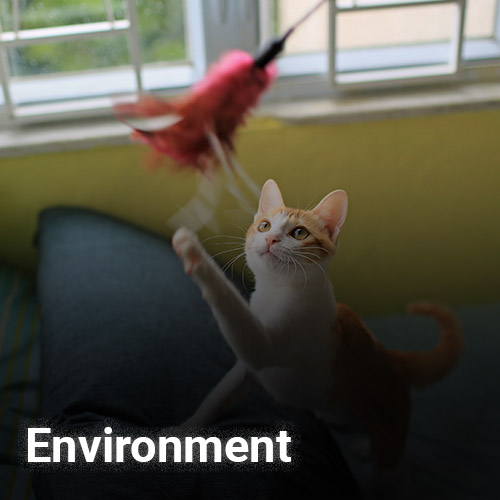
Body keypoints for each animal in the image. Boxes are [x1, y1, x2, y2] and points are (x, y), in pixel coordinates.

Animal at [173, 179, 464, 472]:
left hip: (389, 420)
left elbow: (237, 313)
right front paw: (182, 433)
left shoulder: (279, 338)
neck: (276, 291)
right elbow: (219, 396)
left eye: (299, 233)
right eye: (264, 226)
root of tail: (390, 356)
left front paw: (195, 253)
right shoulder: (247, 369)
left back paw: (369, 450)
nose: (271, 239)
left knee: (390, 455)